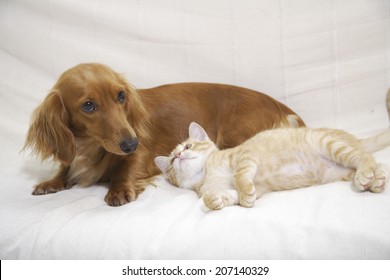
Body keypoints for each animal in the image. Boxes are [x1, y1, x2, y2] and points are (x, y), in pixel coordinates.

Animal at [24, 63, 304, 206]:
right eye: (88, 106)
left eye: (121, 96)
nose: (131, 143)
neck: (91, 147)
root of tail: (284, 109)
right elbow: (65, 167)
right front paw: (51, 181)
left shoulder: (143, 154)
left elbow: (127, 169)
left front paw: (119, 189)